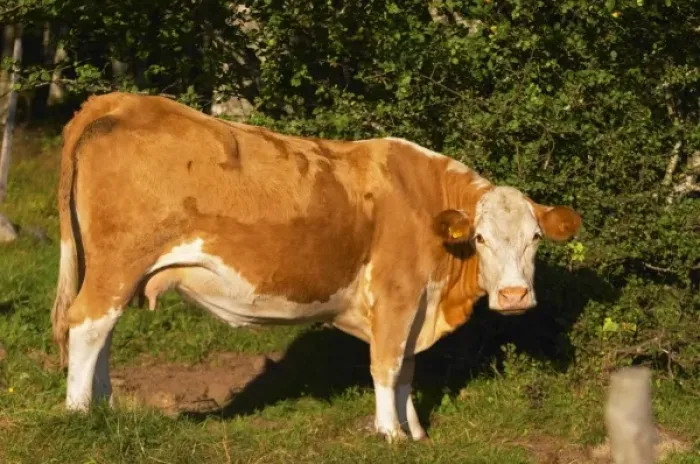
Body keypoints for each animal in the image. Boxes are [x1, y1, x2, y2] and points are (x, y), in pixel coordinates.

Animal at [52, 92, 581, 441]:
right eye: (480, 237)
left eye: (535, 238)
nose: (514, 296)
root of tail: (120, 101)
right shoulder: (396, 293)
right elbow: (387, 365)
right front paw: (390, 434)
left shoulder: (416, 303)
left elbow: (407, 367)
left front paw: (414, 432)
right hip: (118, 263)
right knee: (87, 325)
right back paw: (79, 415)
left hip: (115, 270)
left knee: (103, 332)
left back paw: (107, 406)